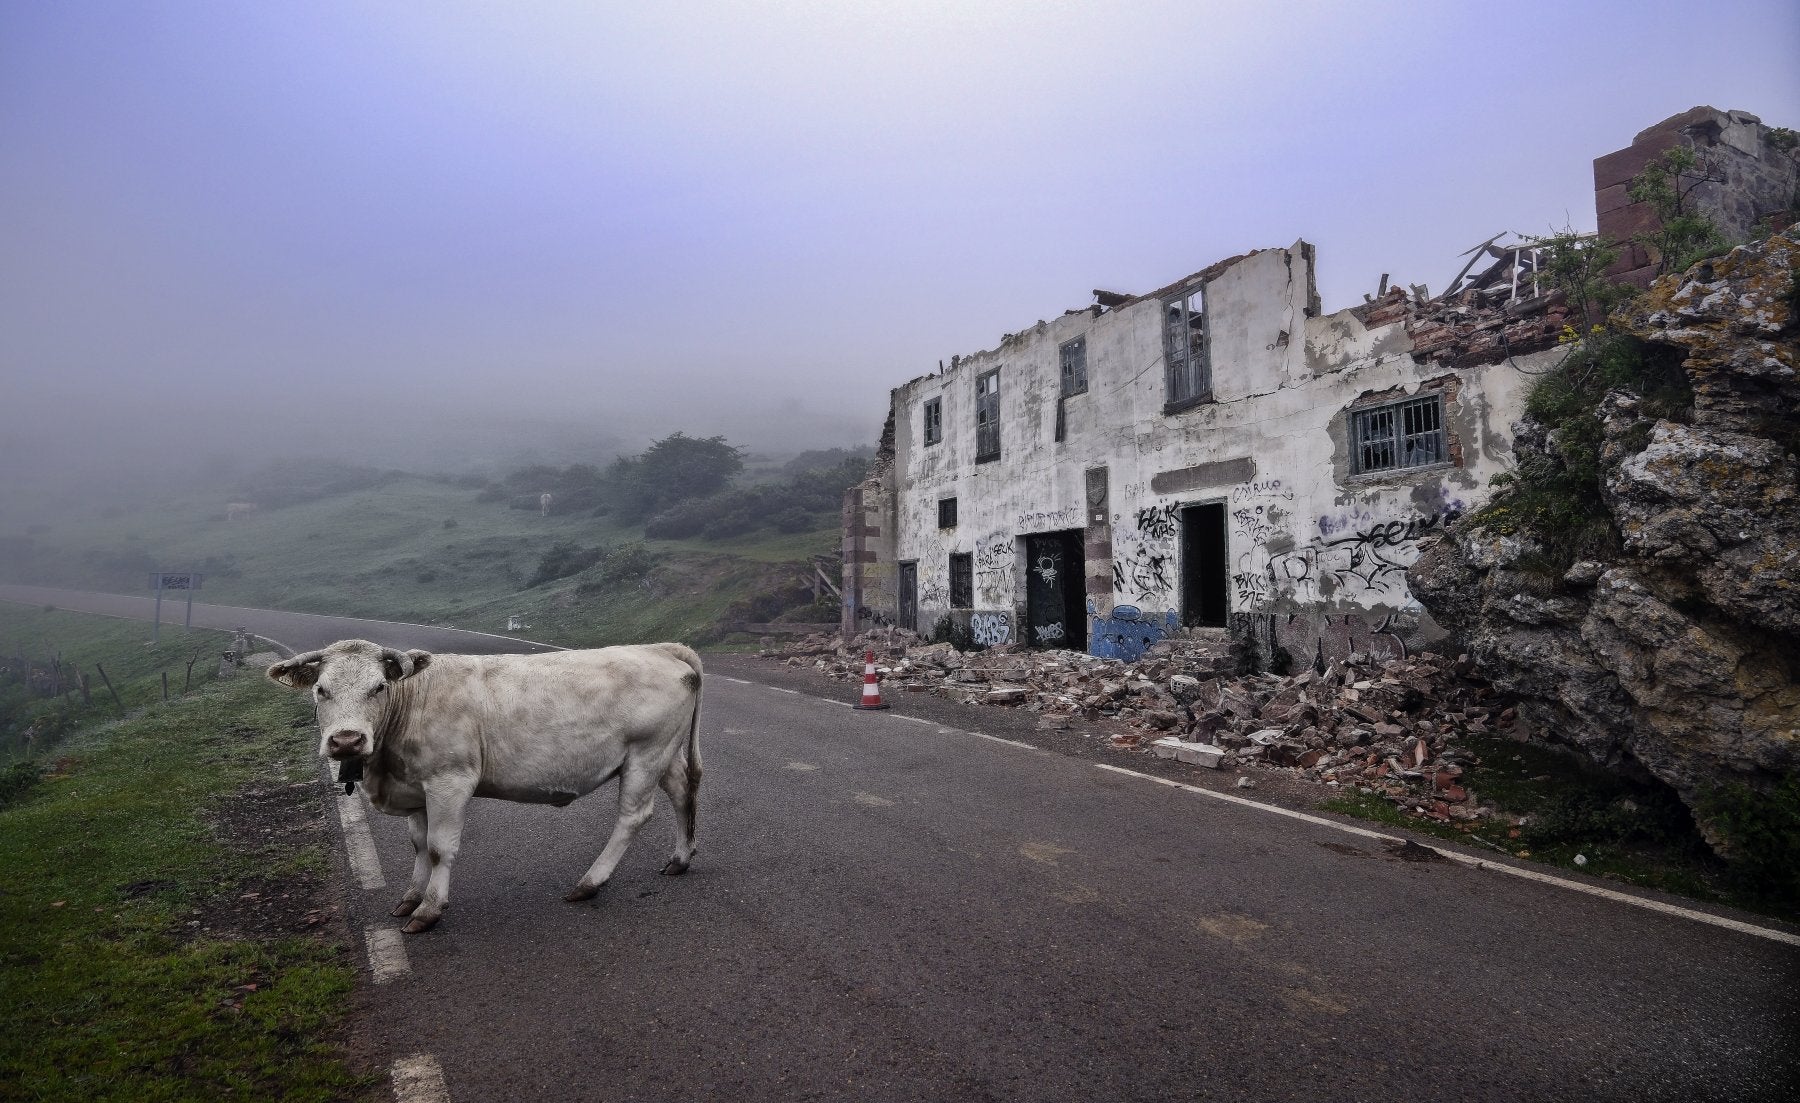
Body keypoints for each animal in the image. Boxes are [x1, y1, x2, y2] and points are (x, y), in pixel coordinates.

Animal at [266, 636, 702, 928]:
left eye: (379, 687)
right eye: (321, 690)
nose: (346, 740)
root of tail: (659, 648)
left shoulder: (449, 782)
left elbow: (439, 848)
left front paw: (429, 909)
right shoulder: (416, 789)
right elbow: (418, 845)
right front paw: (410, 898)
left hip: (646, 753)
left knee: (633, 816)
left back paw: (589, 883)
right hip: (664, 754)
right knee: (683, 791)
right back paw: (680, 858)